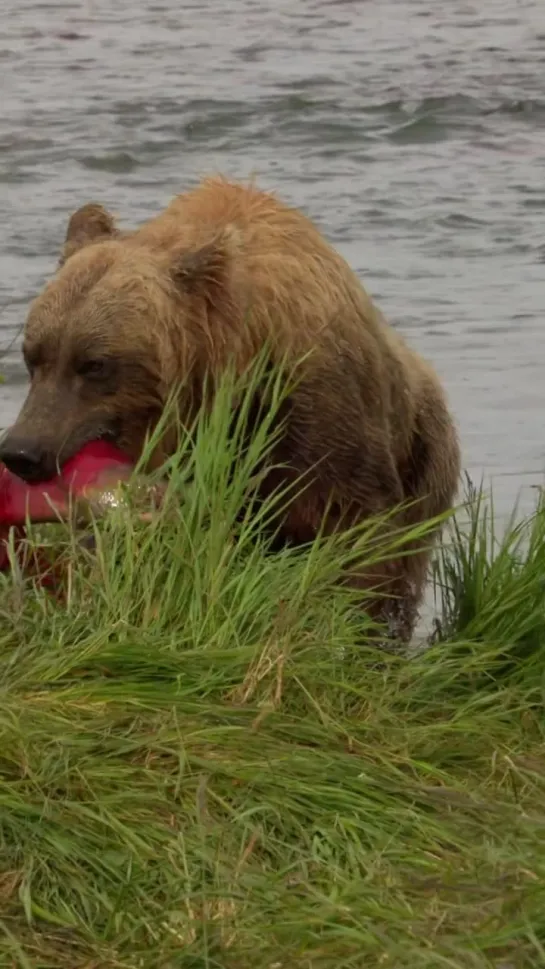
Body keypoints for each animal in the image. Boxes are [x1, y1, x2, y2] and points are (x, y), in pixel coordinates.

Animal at [0, 174, 460, 644]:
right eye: (33, 355)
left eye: (93, 364)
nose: (23, 450)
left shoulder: (317, 414)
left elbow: (359, 531)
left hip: (427, 457)